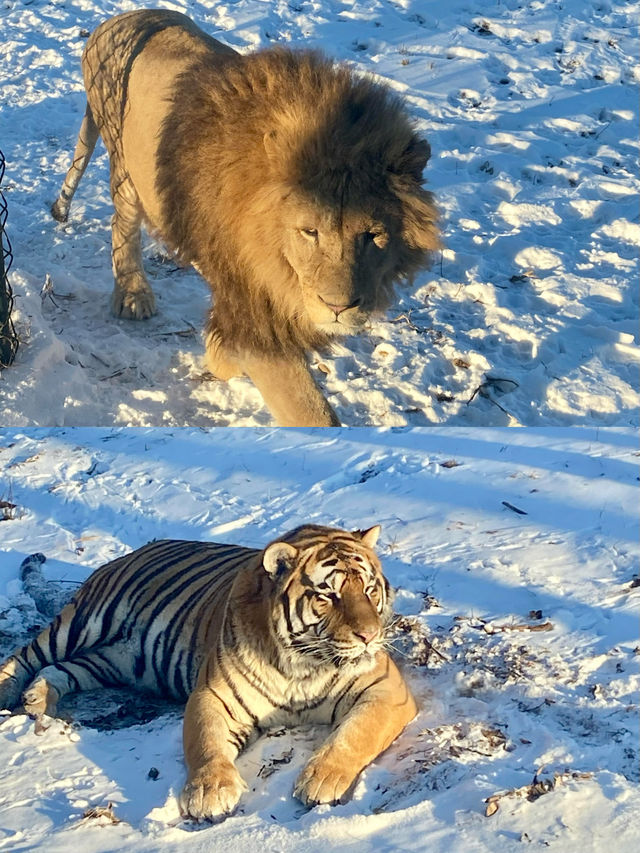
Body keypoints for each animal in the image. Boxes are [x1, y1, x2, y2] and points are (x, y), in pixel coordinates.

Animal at [0, 524, 418, 824]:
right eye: (327, 596)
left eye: (369, 589)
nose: (370, 636)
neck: (304, 663)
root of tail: (139, 549)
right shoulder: (212, 695)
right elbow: (206, 742)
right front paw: (209, 793)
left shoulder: (386, 690)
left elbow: (354, 734)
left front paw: (322, 778)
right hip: (82, 622)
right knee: (28, 654)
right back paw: (12, 693)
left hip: (114, 660)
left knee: (63, 668)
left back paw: (37, 698)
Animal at [51, 7, 440, 426]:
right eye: (309, 232)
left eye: (372, 235)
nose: (338, 308)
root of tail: (115, 20)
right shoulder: (255, 311)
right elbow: (311, 412)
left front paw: (217, 351)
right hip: (123, 162)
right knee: (122, 223)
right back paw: (133, 294)